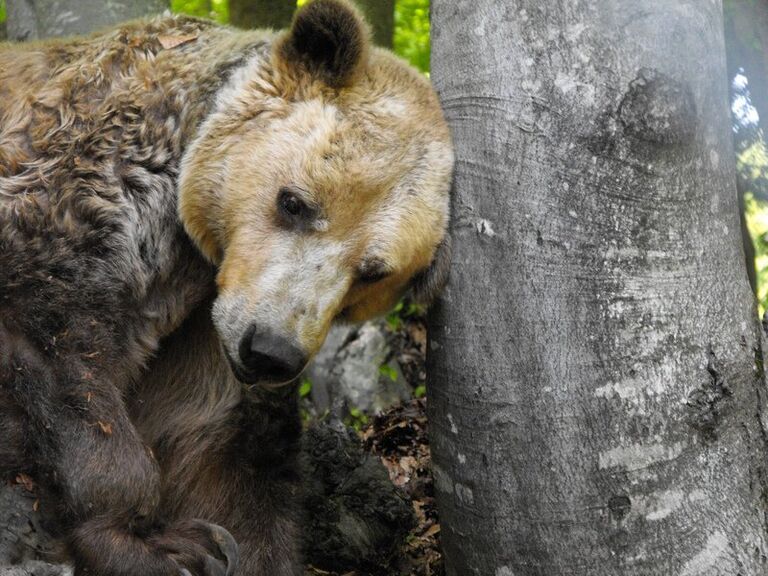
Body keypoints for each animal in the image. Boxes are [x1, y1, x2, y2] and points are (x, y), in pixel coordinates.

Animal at [0, 1, 452, 576]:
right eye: (293, 202)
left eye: (373, 271)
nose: (270, 351)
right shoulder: (91, 192)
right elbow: (62, 343)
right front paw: (160, 547)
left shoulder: (209, 338)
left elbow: (226, 459)